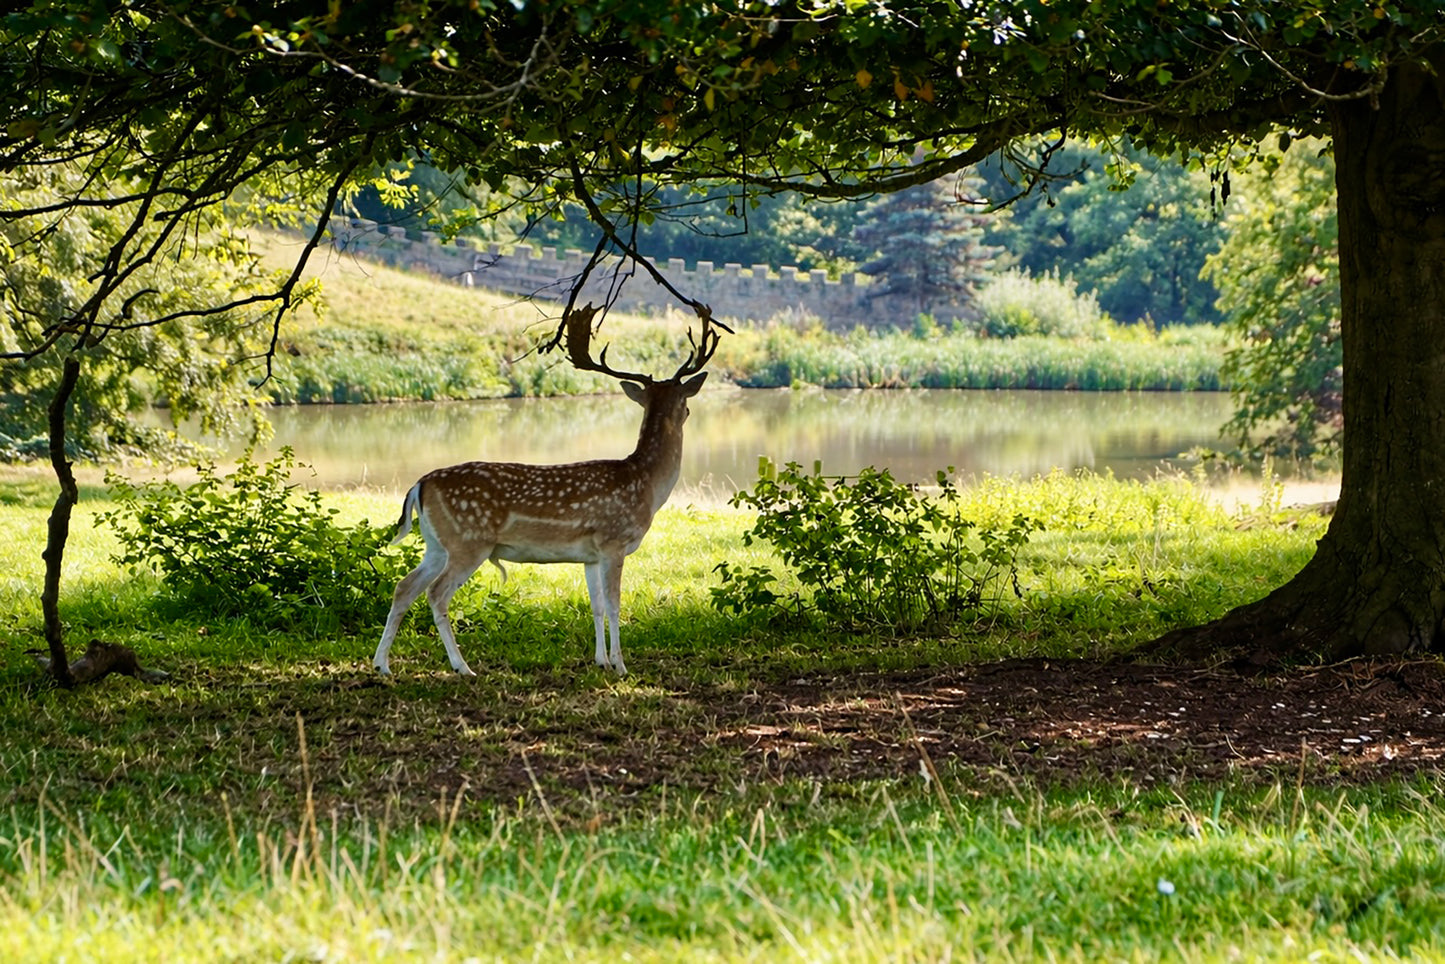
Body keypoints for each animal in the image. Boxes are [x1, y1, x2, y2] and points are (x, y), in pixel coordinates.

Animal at [372, 303, 721, 677]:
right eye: (685, 403)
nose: (689, 411)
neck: (646, 485)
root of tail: (419, 485)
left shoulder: (590, 554)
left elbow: (596, 606)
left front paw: (600, 660)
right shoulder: (613, 541)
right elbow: (615, 605)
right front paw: (620, 665)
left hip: (437, 545)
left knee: (404, 587)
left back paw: (382, 665)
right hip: (469, 541)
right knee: (437, 594)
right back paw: (462, 667)